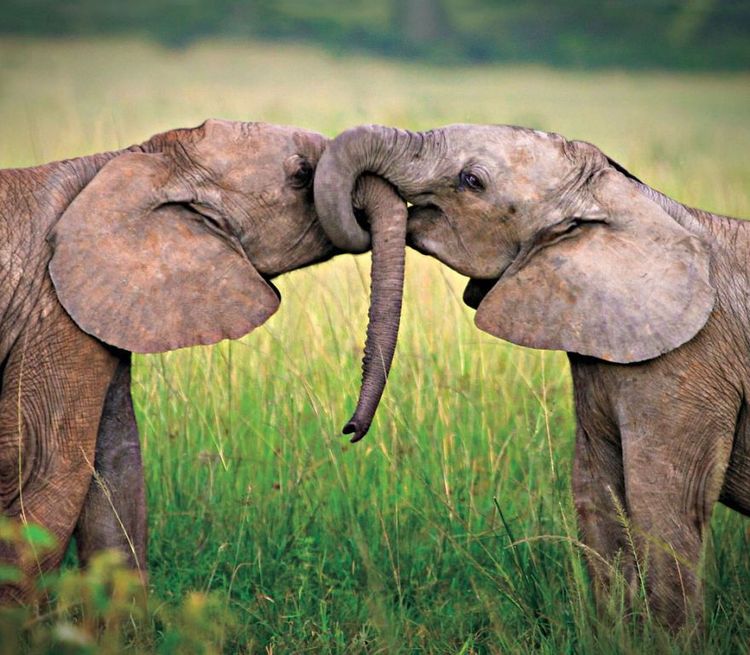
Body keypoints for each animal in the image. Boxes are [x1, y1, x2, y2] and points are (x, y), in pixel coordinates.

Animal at [0, 119, 404, 602]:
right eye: (302, 175)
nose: (349, 429)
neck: (131, 160)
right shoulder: (51, 313)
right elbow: (43, 473)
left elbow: (117, 475)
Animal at [313, 123, 750, 630]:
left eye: (471, 180)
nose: (349, 430)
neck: (627, 198)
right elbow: (596, 497)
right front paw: (616, 636)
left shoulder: (690, 362)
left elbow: (664, 509)